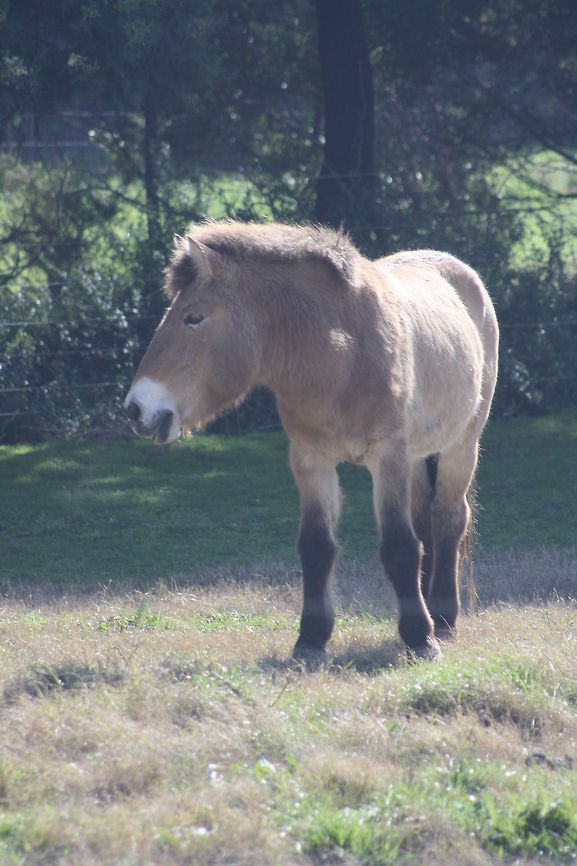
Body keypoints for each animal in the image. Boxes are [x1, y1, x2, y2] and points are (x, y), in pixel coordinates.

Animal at [125, 220, 499, 661]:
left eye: (193, 317)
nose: (136, 408)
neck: (341, 355)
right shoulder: (310, 459)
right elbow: (317, 547)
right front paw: (311, 639)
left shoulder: (388, 455)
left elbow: (398, 546)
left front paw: (420, 639)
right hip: (419, 456)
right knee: (425, 521)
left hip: (462, 444)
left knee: (447, 518)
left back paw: (440, 618)